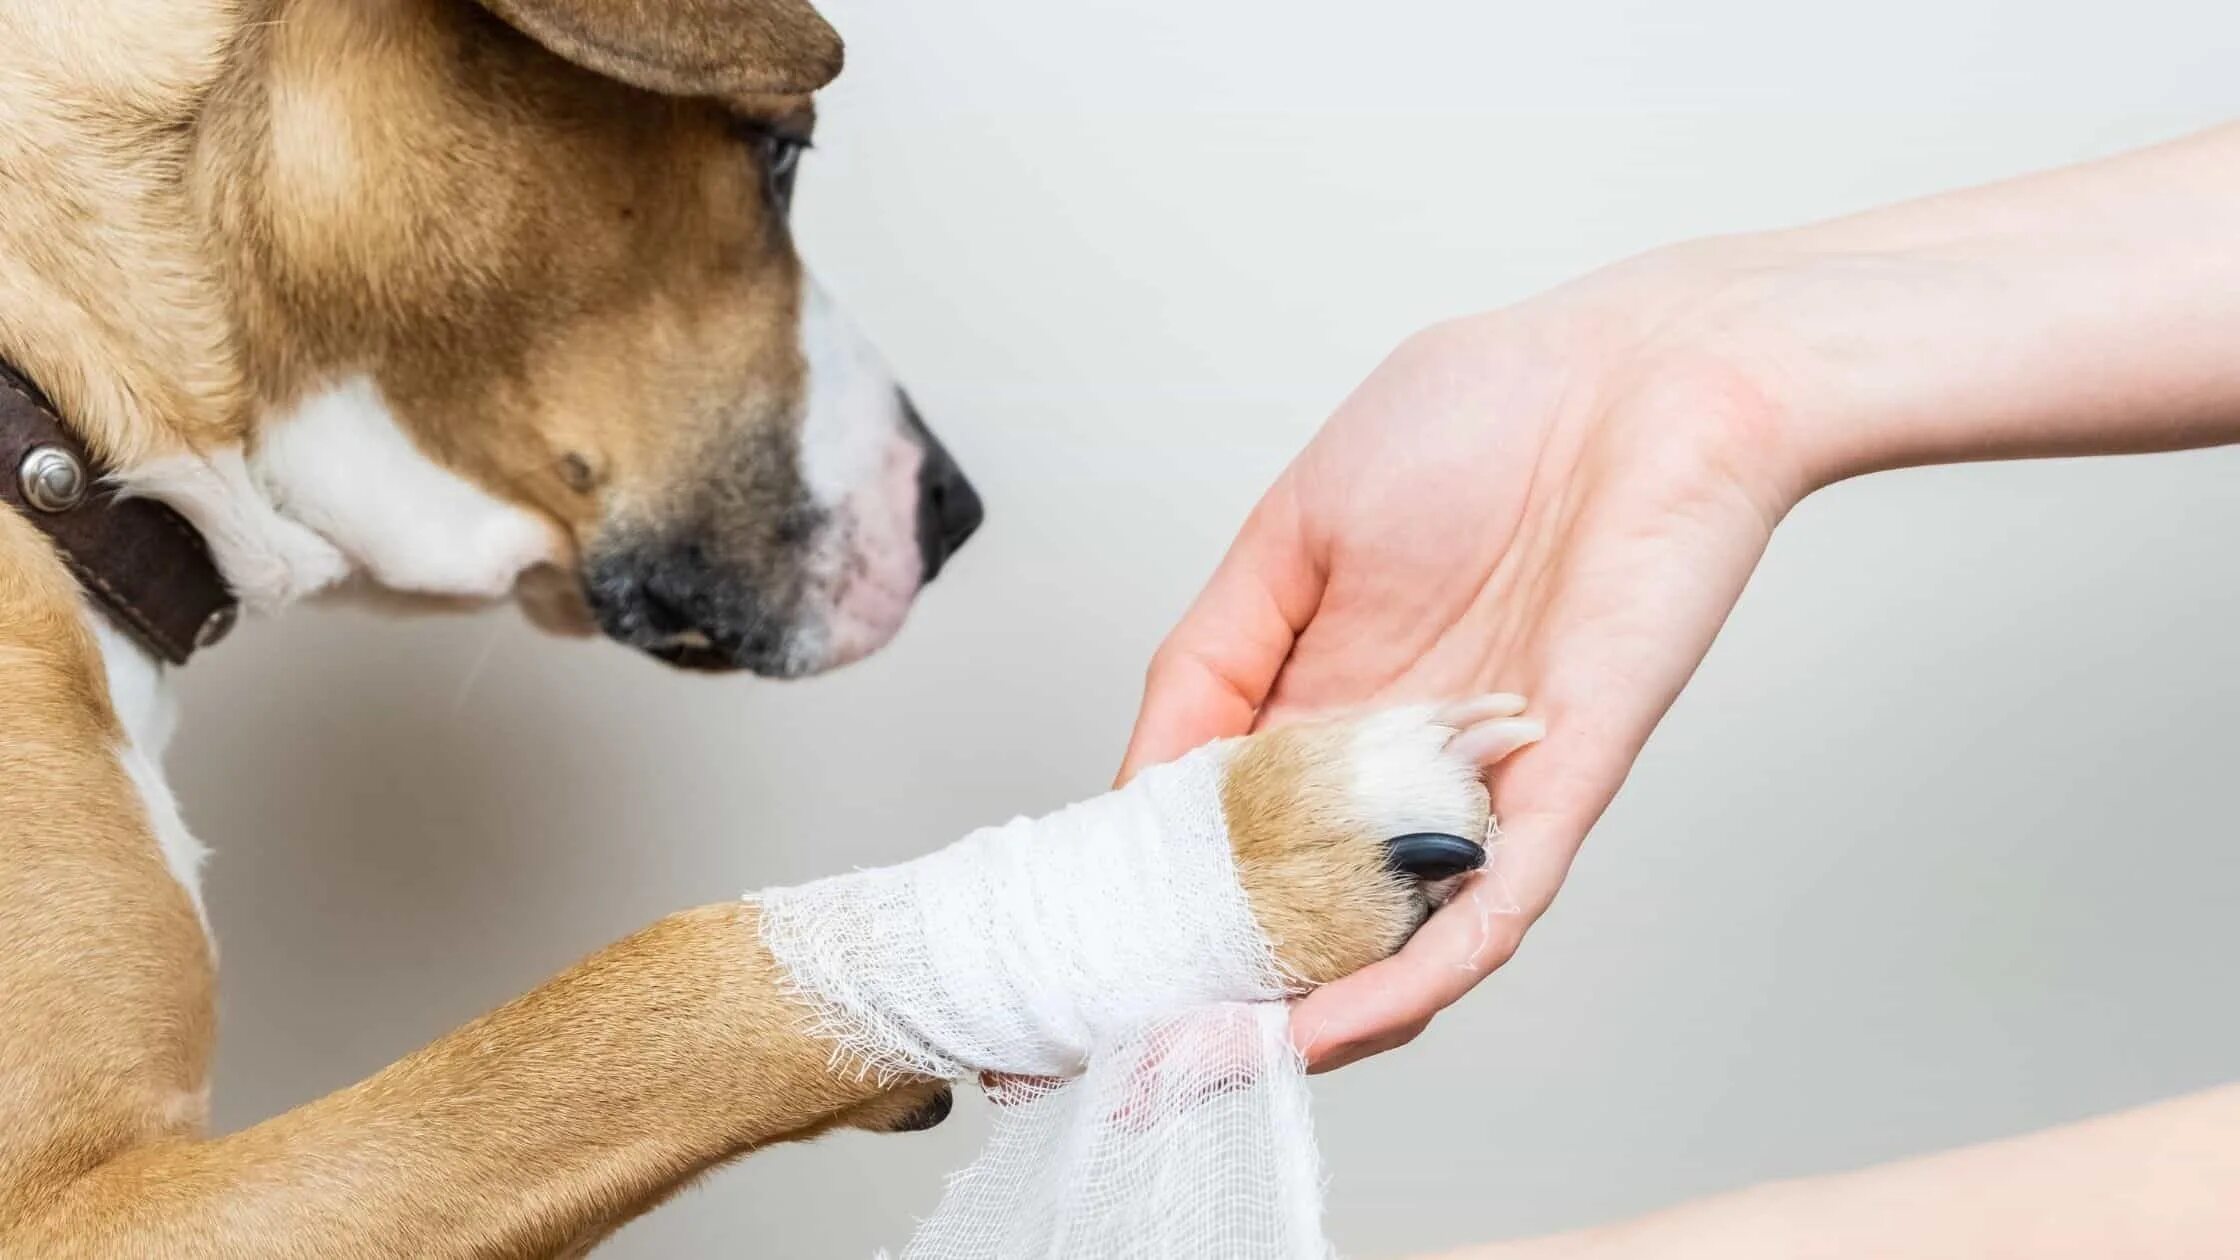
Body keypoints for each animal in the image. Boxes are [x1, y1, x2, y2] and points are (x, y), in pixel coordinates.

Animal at [0, 4, 1523, 1246]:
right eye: (782, 158)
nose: (956, 512)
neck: (62, 411)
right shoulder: (91, 1214)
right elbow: (620, 1005)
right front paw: (1255, 845)